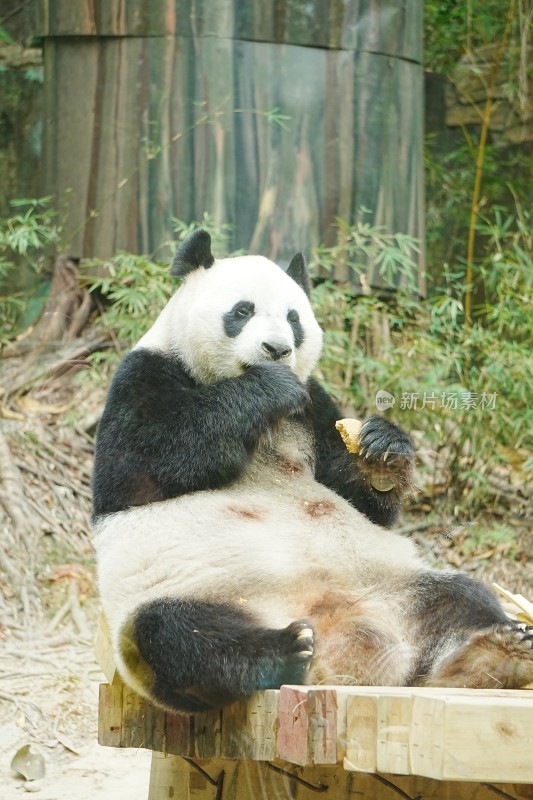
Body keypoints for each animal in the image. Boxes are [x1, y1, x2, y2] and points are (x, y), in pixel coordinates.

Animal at [91, 230, 532, 712]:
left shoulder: (314, 406)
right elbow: (144, 460)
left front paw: (383, 448)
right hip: (188, 594)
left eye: (293, 318)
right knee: (176, 637)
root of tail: (344, 652)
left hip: (391, 583)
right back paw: (285, 649)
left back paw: (497, 654)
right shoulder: (141, 375)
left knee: (460, 595)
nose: (278, 350)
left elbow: (360, 497)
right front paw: (267, 387)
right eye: (242, 311)